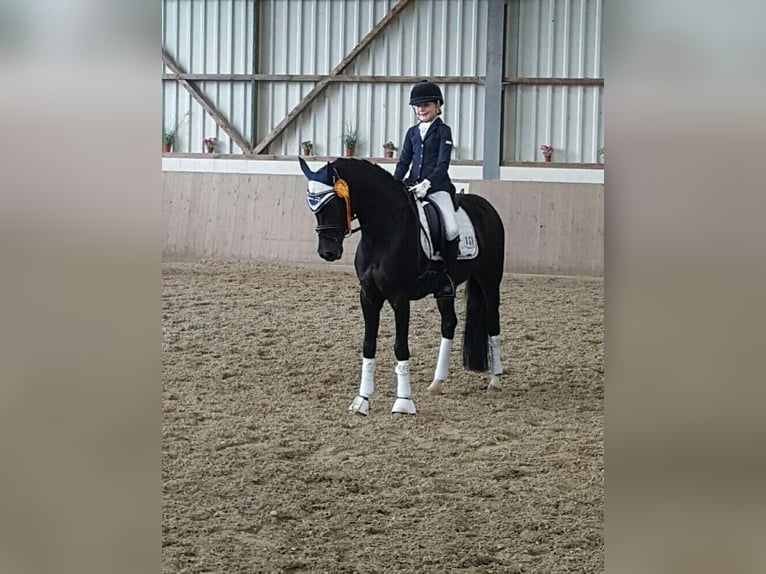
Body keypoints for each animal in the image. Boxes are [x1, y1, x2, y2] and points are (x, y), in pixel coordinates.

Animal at [302, 159, 510, 418]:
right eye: (314, 207)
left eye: (333, 203)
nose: (327, 253)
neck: (381, 234)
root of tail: (486, 207)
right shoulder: (368, 296)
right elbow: (368, 345)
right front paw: (362, 400)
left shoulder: (399, 299)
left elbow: (400, 347)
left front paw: (403, 402)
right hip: (446, 290)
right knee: (449, 323)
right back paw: (437, 383)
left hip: (489, 281)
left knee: (493, 324)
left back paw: (495, 381)